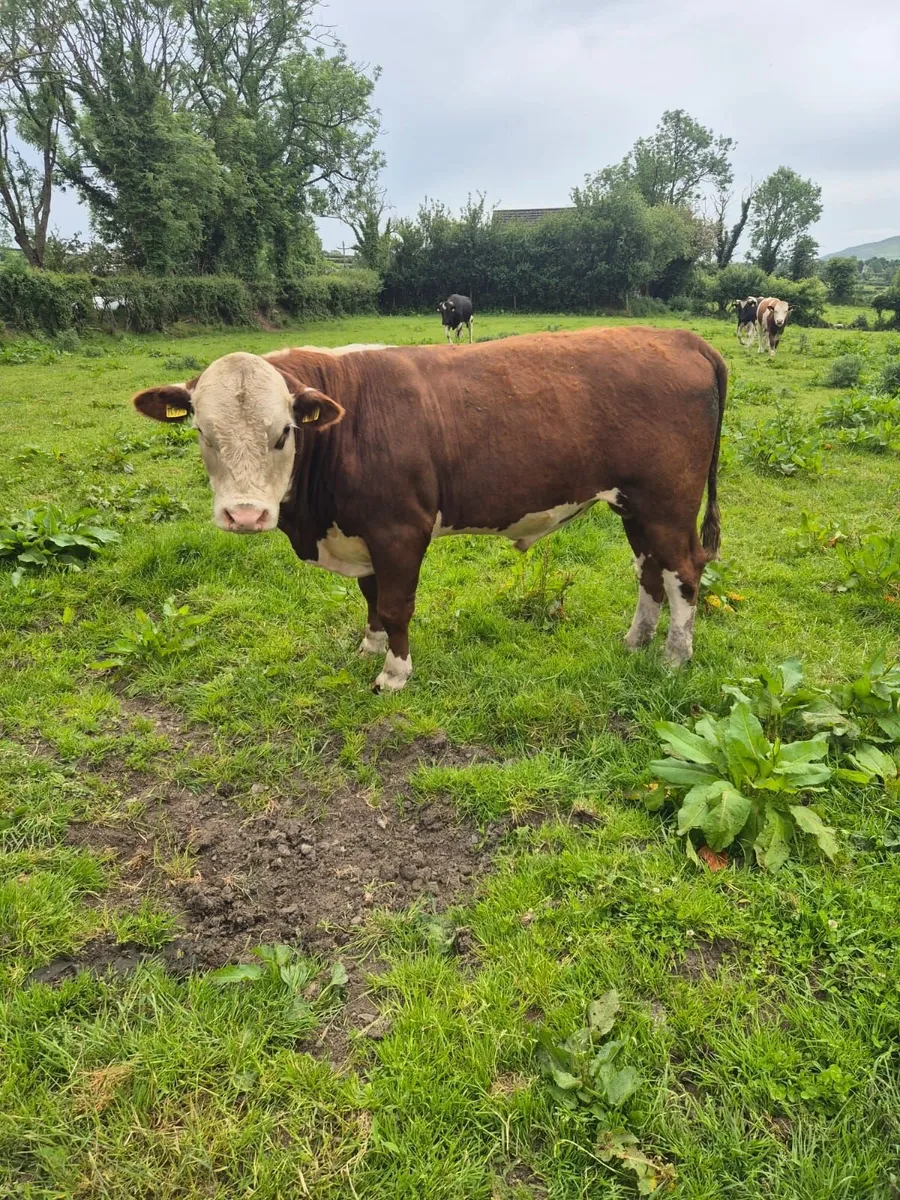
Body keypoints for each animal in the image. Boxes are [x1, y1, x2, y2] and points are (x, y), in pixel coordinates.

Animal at [131, 327, 726, 692]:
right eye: (203, 433)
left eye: (283, 434)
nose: (245, 516)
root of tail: (680, 337)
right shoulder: (361, 533)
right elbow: (371, 598)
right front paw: (369, 648)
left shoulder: (399, 531)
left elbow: (396, 605)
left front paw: (394, 673)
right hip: (634, 505)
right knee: (650, 571)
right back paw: (636, 641)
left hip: (667, 503)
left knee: (683, 572)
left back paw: (674, 659)